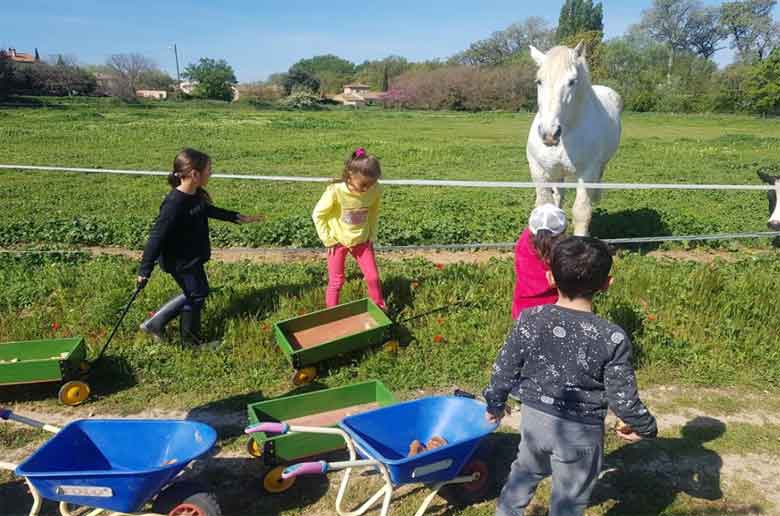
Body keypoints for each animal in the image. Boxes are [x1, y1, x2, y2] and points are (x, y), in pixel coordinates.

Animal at [528, 42, 624, 236]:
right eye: (539, 81)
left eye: (572, 81)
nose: (549, 133)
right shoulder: (538, 170)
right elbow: (544, 206)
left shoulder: (587, 173)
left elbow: (581, 212)